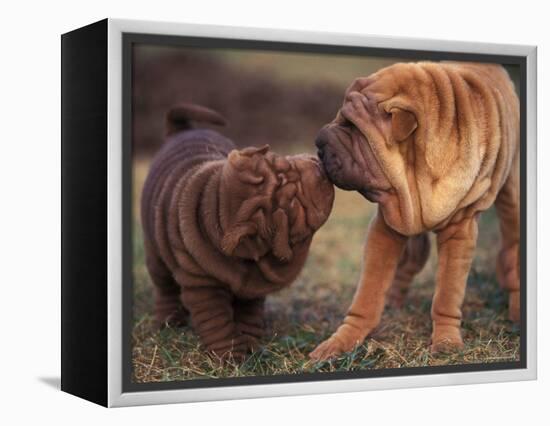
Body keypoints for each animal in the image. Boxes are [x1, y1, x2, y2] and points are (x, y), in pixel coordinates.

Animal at [140, 103, 334, 360]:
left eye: (284, 163)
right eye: (293, 206)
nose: (320, 169)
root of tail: (180, 131)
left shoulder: (253, 287)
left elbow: (248, 315)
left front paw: (250, 344)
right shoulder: (202, 286)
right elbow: (217, 322)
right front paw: (230, 357)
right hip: (155, 254)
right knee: (165, 287)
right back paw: (169, 323)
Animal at [312, 60, 520, 360]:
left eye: (353, 127)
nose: (318, 142)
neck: (414, 176)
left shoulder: (459, 232)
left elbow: (447, 293)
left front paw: (446, 343)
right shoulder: (388, 224)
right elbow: (369, 291)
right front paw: (341, 342)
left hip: (511, 196)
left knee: (512, 248)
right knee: (409, 262)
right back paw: (394, 301)